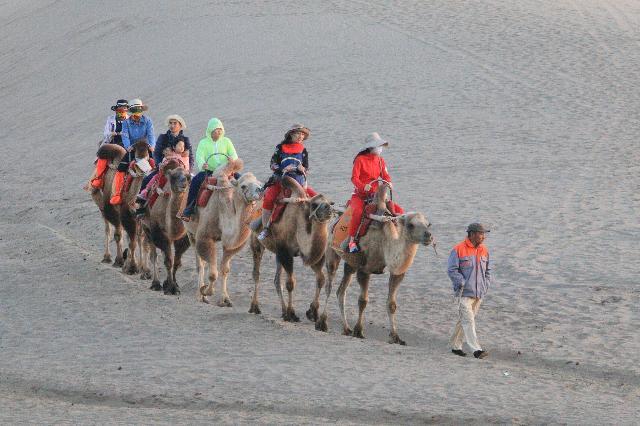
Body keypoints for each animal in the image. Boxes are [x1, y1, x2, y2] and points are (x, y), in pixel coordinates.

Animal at [90, 140, 152, 272]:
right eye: (137, 166)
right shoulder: (122, 214)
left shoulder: (139, 217)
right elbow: (123, 237)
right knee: (109, 229)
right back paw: (107, 257)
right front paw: (128, 265)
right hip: (103, 206)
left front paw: (141, 268)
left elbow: (138, 239)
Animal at [139, 158, 191, 294]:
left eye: (188, 177)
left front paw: (174, 285)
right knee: (153, 255)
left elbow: (176, 261)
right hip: (147, 228)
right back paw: (155, 283)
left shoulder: (182, 237)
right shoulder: (158, 233)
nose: (183, 183)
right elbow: (168, 261)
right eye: (173, 177)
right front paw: (170, 288)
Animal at [184, 160, 264, 306]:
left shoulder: (231, 246)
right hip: (190, 232)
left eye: (259, 183)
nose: (260, 190)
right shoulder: (204, 237)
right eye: (243, 186)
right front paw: (205, 292)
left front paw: (225, 299)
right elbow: (212, 273)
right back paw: (199, 294)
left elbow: (224, 269)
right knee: (200, 264)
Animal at [248, 177, 332, 322]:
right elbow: (290, 283)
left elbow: (321, 279)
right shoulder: (285, 252)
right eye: (314, 204)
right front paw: (291, 313)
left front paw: (313, 312)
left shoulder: (310, 255)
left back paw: (282, 311)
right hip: (256, 242)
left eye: (328, 202)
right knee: (256, 273)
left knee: (276, 280)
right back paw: (255, 307)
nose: (328, 208)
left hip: (277, 253)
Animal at [320, 184, 436, 346]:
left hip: (351, 263)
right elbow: (363, 301)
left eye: (428, 224)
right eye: (411, 225)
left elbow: (391, 304)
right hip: (332, 252)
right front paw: (359, 331)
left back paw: (346, 328)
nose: (428, 236)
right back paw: (322, 323)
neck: (386, 243)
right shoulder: (365, 269)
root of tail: (337, 218)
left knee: (341, 291)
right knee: (329, 286)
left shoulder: (397, 272)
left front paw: (395, 337)